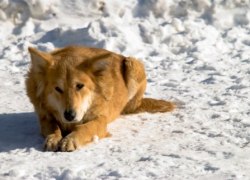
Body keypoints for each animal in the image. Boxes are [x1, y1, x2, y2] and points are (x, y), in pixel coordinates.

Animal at [24, 45, 174, 151]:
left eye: (80, 86)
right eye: (58, 89)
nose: (69, 115)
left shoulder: (100, 120)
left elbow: (85, 128)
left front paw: (70, 140)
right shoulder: (45, 117)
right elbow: (53, 127)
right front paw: (53, 139)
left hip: (132, 64)